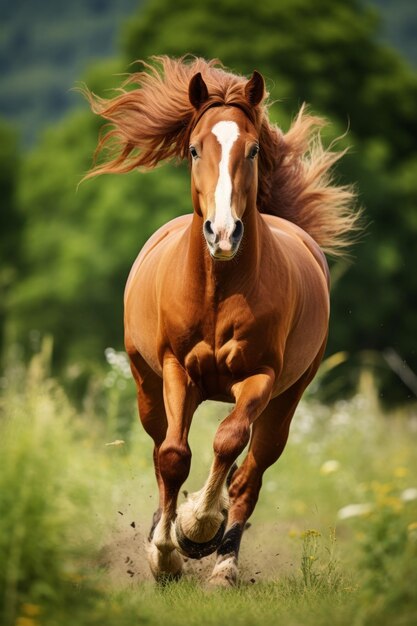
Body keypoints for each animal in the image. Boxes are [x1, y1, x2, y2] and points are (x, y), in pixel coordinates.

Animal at [83, 56, 358, 584]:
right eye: (194, 149)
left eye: (252, 150)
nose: (224, 233)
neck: (217, 290)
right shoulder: (177, 369)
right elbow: (173, 456)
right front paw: (166, 551)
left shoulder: (261, 377)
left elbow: (229, 442)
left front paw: (198, 528)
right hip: (149, 387)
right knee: (162, 449)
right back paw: (164, 531)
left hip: (286, 400)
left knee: (250, 472)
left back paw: (224, 565)